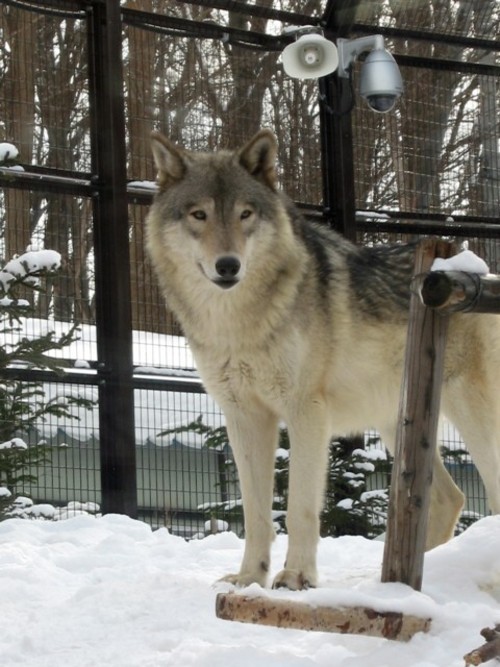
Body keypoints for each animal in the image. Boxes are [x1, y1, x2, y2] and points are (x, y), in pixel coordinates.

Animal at [146, 129, 500, 588]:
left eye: (245, 214)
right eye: (199, 215)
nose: (228, 266)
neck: (239, 322)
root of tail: (479, 269)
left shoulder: (306, 411)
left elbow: (299, 508)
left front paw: (297, 577)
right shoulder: (244, 417)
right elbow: (256, 514)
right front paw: (249, 579)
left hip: (470, 414)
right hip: (400, 425)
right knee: (449, 498)